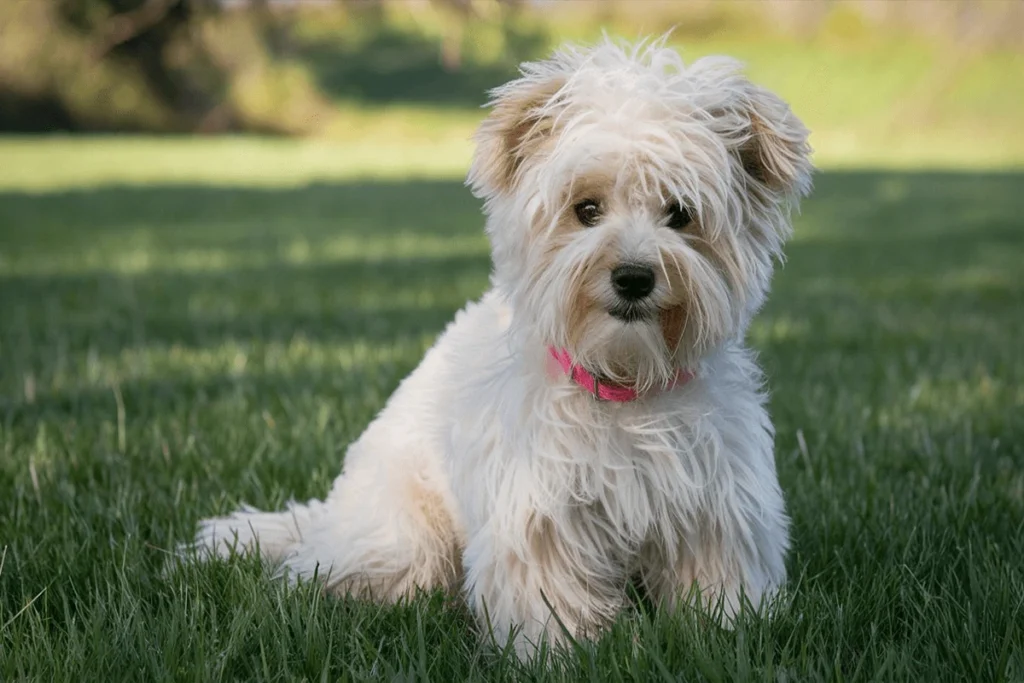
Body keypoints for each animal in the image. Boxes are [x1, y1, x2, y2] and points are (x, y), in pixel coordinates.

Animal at [186, 36, 815, 655]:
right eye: (586, 210)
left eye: (680, 214)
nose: (634, 276)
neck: (622, 382)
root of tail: (332, 516)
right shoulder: (540, 513)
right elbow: (551, 598)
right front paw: (563, 650)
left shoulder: (715, 505)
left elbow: (715, 585)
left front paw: (725, 630)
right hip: (407, 535)